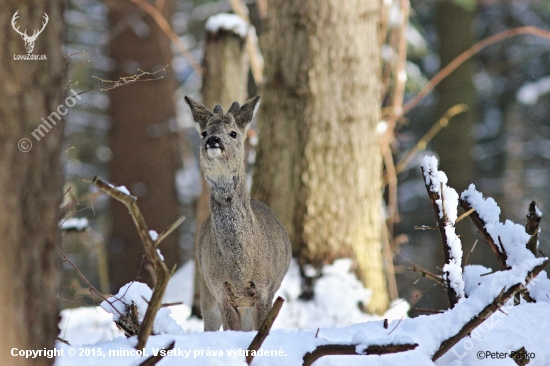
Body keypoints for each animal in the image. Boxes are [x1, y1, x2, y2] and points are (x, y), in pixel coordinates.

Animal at [185, 96, 294, 330]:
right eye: (204, 132)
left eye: (233, 133)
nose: (214, 140)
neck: (240, 268)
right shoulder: (219, 287)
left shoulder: (265, 288)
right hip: (205, 284)